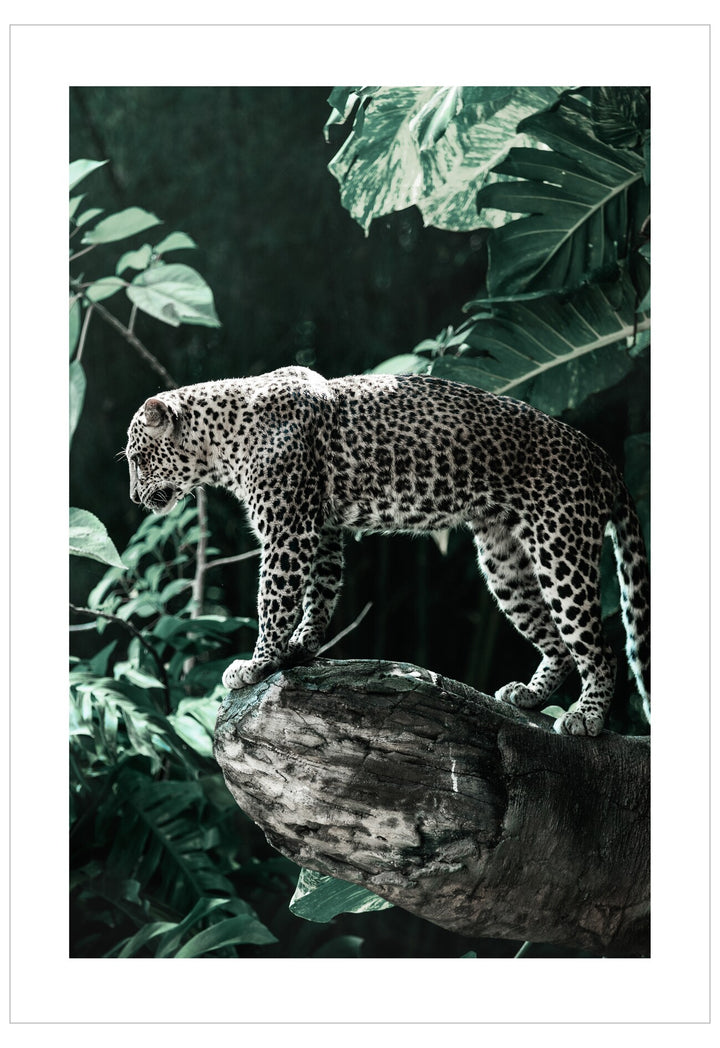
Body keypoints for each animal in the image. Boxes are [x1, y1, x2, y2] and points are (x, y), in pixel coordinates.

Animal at [125, 365, 650, 737]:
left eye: (136, 458)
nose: (132, 497)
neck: (222, 440)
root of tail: (603, 457)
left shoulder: (287, 534)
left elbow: (274, 599)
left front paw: (257, 663)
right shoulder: (321, 529)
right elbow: (321, 591)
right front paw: (301, 647)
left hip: (561, 548)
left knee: (599, 645)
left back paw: (587, 718)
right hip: (505, 563)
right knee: (558, 642)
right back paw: (529, 696)